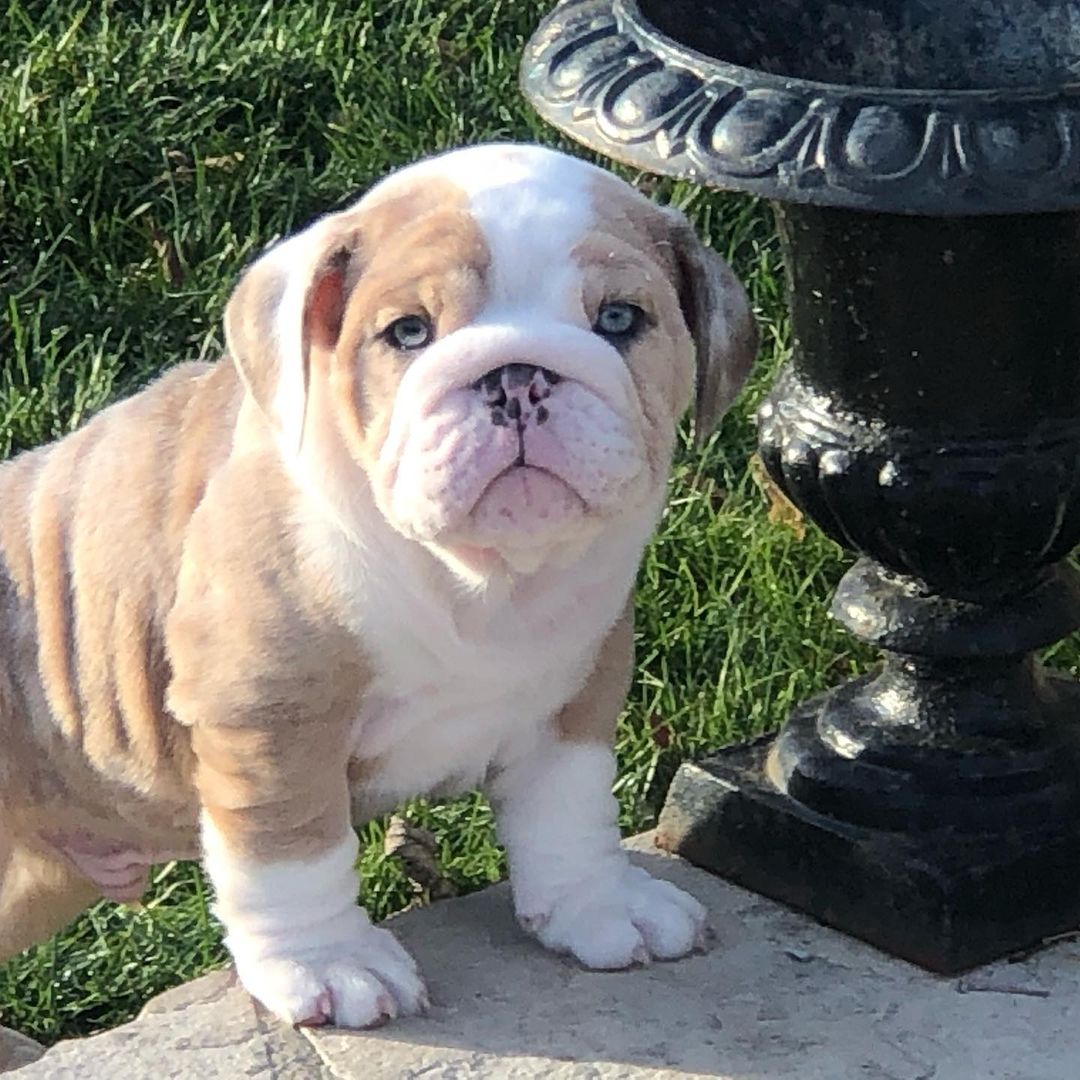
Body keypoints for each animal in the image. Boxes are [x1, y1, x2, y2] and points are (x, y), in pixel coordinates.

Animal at [0, 143, 760, 1028]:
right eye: (409, 332)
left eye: (618, 320)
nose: (517, 376)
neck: (481, 579)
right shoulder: (269, 714)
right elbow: (295, 847)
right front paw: (330, 963)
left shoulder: (581, 688)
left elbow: (569, 807)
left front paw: (597, 904)